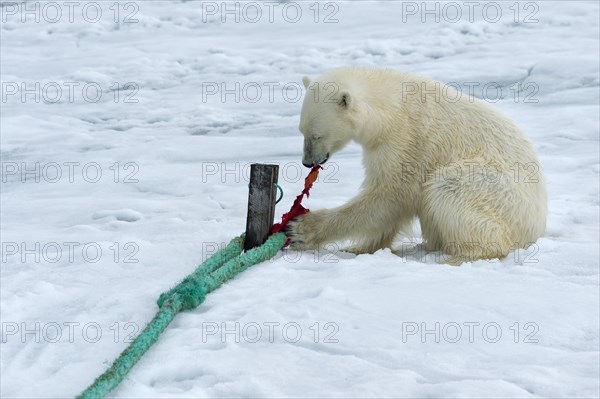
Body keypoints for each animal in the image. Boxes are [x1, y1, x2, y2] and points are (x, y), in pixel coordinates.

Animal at [290, 67, 548, 264]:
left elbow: (390, 195)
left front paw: (301, 229)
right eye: (301, 131)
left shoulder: (406, 140)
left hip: (498, 193)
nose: (307, 162)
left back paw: (455, 258)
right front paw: (358, 248)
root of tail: (536, 226)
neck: (391, 107)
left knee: (448, 186)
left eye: (316, 135)